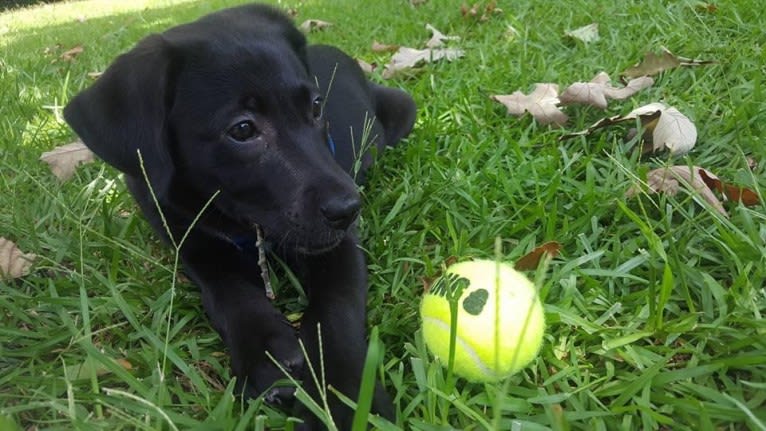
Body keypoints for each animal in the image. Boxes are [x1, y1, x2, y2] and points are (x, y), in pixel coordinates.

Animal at [63, 2, 416, 428]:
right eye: (243, 129)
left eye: (316, 107)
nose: (348, 209)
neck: (244, 225)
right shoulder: (188, 240)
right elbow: (229, 292)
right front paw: (267, 352)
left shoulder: (338, 247)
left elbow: (336, 307)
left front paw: (344, 399)